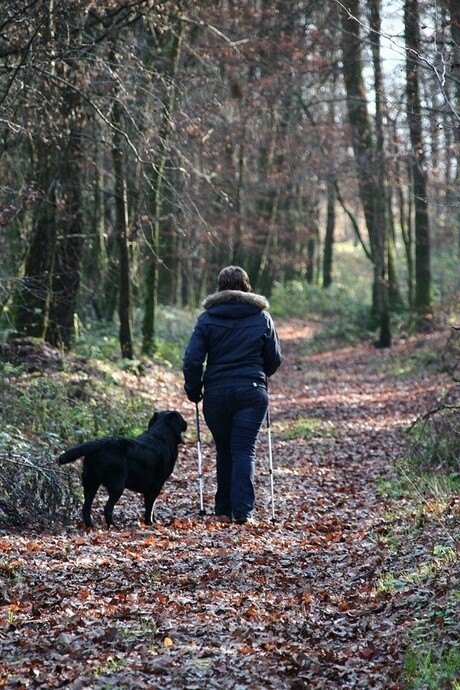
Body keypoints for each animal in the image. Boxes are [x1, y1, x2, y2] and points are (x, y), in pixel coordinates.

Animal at [57, 408, 187, 528]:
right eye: (181, 418)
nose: (186, 423)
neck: (161, 435)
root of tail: (100, 443)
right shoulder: (156, 486)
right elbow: (150, 507)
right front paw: (149, 523)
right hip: (117, 485)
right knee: (107, 507)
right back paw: (114, 526)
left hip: (91, 482)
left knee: (86, 507)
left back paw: (92, 526)